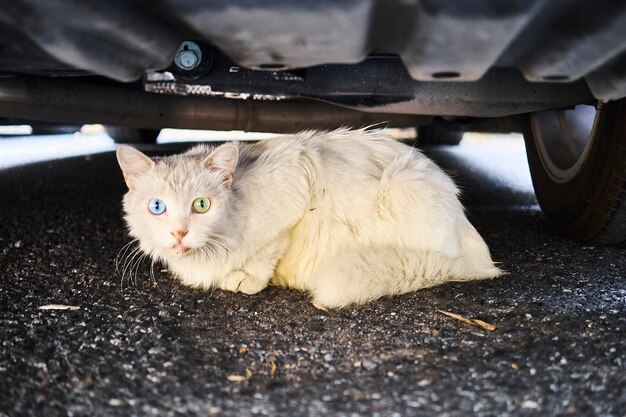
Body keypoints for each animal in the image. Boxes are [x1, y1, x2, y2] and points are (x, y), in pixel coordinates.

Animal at [116, 128, 498, 308]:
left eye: (201, 205)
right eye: (157, 207)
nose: (179, 233)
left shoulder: (297, 181)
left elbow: (266, 251)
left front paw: (245, 279)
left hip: (404, 189)